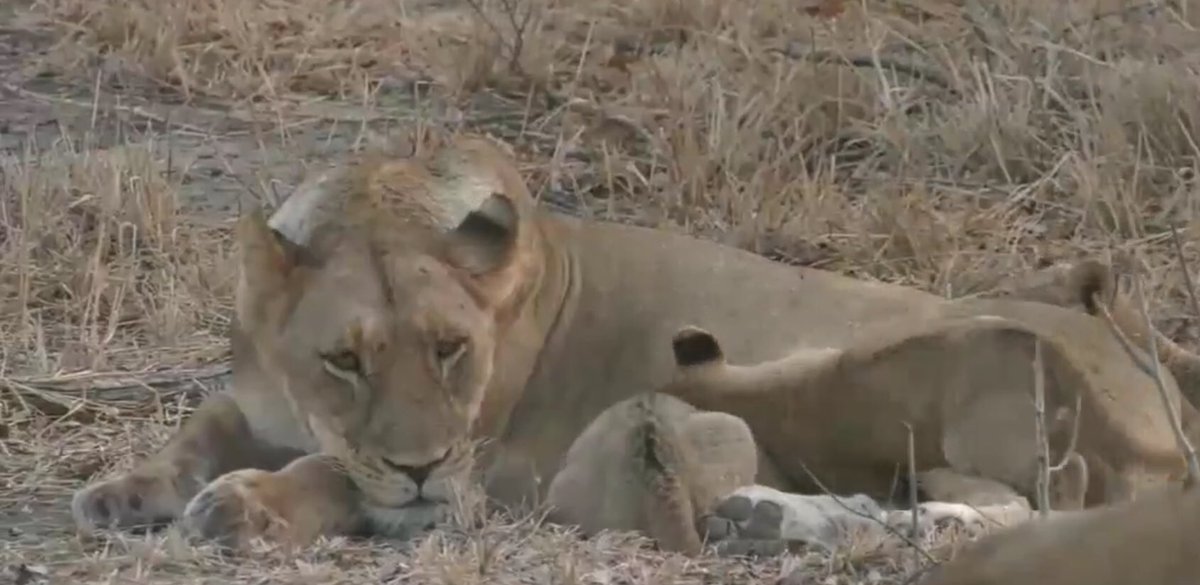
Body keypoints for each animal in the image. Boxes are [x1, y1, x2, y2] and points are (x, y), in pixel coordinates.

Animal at [68, 132, 1200, 554]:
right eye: (343, 359)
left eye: (450, 349)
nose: (423, 463)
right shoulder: (262, 395)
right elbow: (204, 422)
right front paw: (124, 488)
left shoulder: (486, 476)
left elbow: (337, 478)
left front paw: (247, 505)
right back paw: (765, 514)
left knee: (1013, 509)